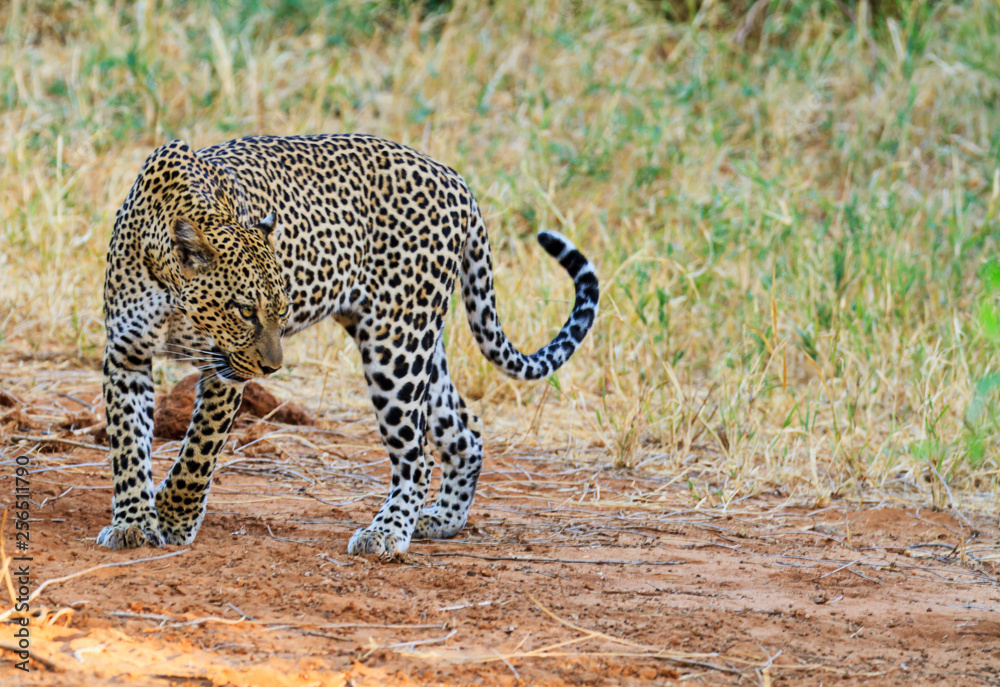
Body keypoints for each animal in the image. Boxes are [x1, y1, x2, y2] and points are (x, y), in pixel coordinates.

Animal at [96, 134, 599, 559]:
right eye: (244, 310)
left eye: (282, 309)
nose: (272, 369)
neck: (169, 286)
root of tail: (455, 179)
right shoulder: (126, 356)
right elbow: (128, 444)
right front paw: (134, 521)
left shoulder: (224, 372)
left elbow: (198, 450)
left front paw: (173, 516)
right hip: (417, 346)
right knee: (465, 429)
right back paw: (441, 520)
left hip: (396, 346)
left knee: (416, 457)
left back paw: (387, 532)